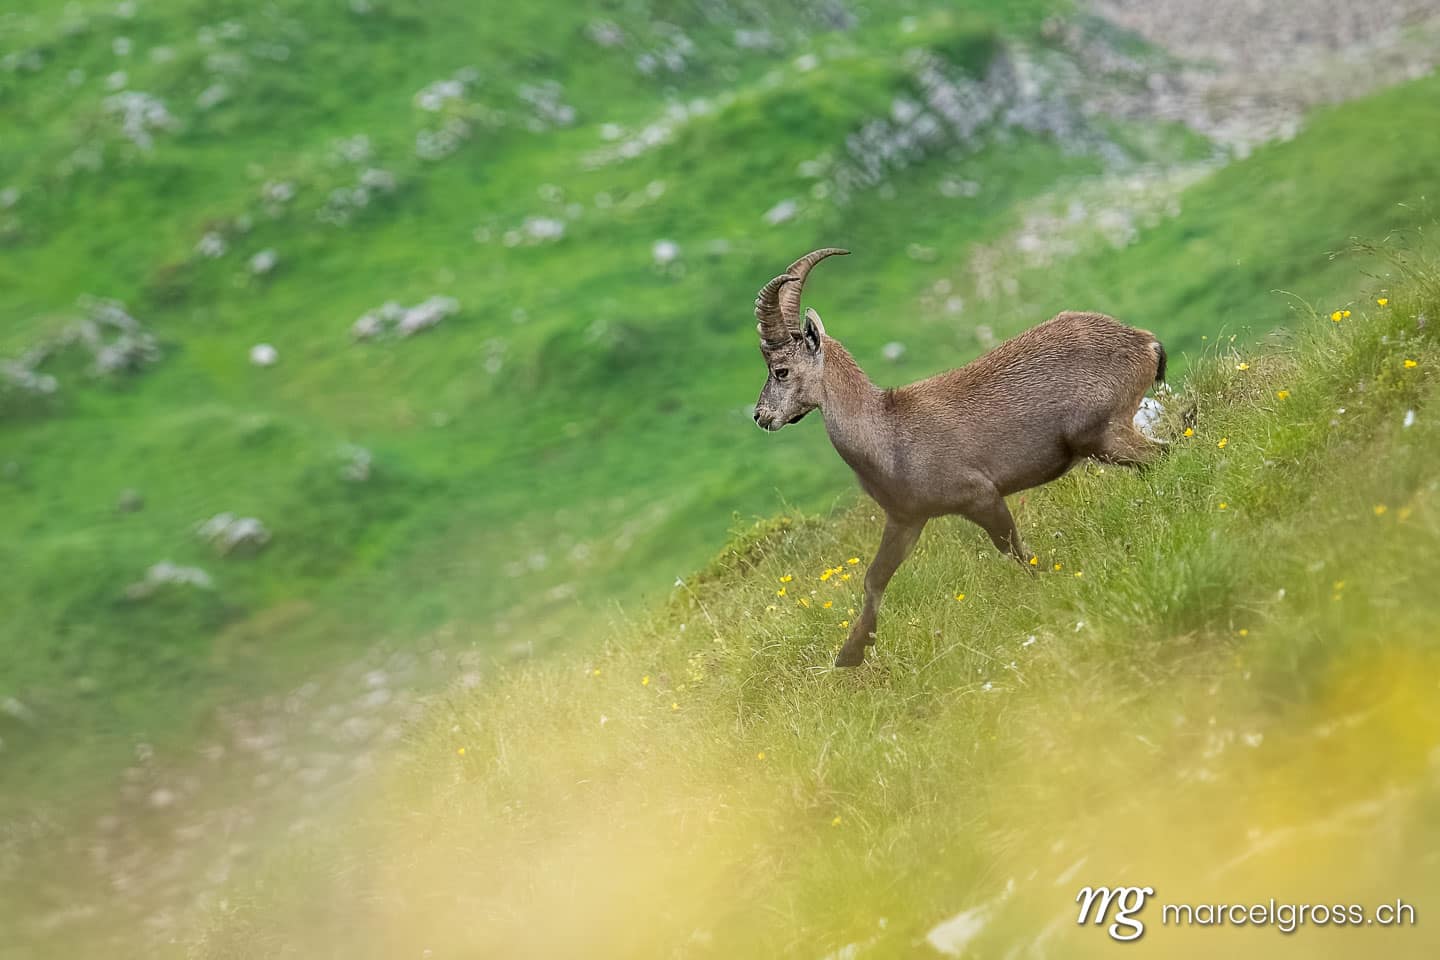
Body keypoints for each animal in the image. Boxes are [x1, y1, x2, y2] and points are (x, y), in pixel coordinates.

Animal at [751, 248, 1168, 667]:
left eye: (781, 370)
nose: (760, 416)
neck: (887, 432)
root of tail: (1144, 342)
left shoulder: (979, 495)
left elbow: (1013, 549)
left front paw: (1046, 583)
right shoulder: (906, 518)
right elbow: (874, 577)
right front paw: (850, 653)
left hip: (1101, 434)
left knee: (1159, 456)